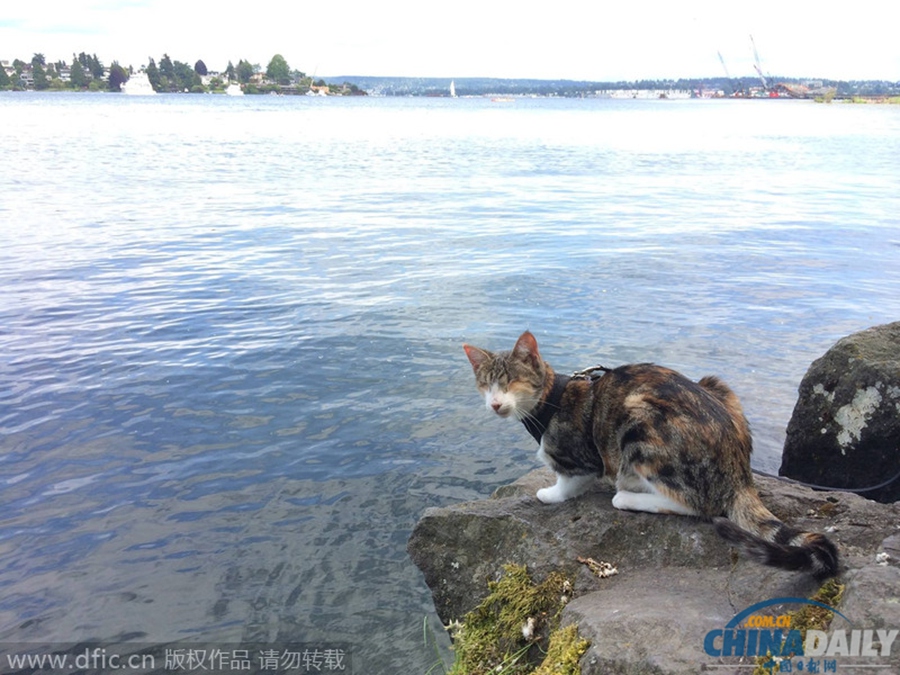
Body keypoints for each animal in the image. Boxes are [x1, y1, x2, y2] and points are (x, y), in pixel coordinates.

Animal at [464, 332, 844, 580]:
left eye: (511, 382)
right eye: (485, 384)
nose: (495, 404)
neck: (550, 400)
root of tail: (739, 474)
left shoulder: (586, 459)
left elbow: (570, 479)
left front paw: (550, 493)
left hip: (641, 423)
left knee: (700, 505)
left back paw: (629, 497)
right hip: (716, 384)